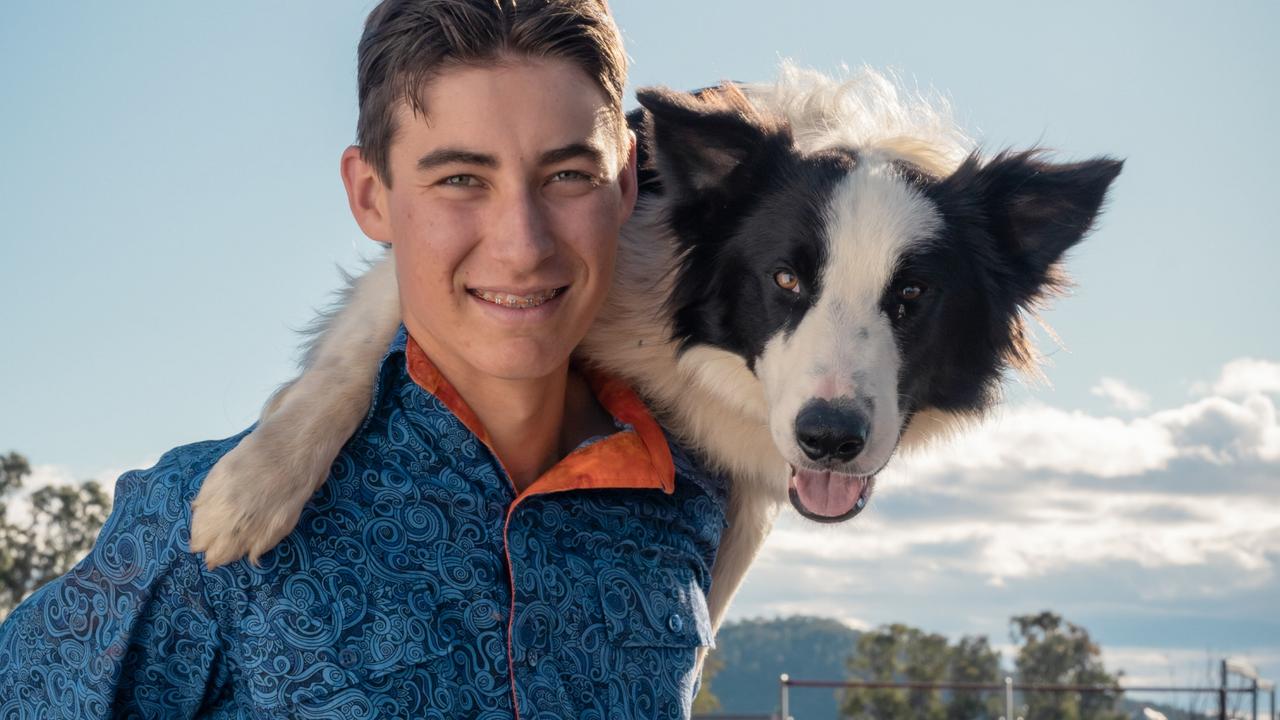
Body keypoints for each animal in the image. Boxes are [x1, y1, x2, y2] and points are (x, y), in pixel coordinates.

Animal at [189, 67, 1121, 627]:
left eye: (913, 298)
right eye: (786, 279)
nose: (830, 438)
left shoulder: (751, 492)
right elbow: (351, 364)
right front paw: (252, 489)